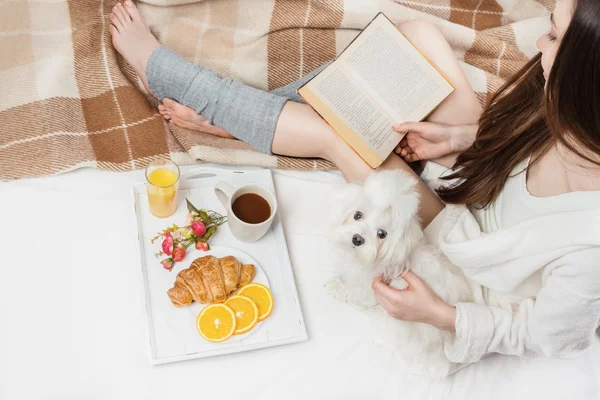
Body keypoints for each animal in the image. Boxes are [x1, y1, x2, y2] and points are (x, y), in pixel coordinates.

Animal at [328, 170, 474, 378]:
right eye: (357, 215)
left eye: (382, 234)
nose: (357, 239)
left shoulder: (369, 288)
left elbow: (354, 291)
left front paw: (336, 286)